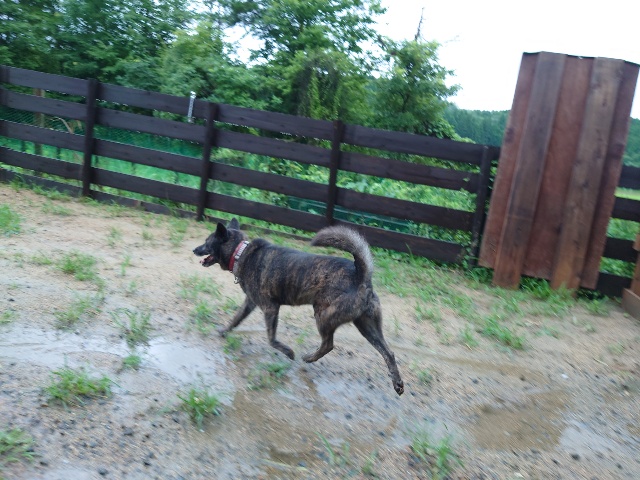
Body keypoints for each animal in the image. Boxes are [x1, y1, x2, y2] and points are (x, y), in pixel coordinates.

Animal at [193, 219, 404, 396]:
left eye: (207, 241)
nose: (195, 250)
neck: (240, 252)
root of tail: (361, 275)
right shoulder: (250, 303)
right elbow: (235, 319)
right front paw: (223, 331)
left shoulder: (270, 308)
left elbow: (271, 339)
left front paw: (288, 352)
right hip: (366, 325)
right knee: (388, 352)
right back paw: (398, 384)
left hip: (323, 316)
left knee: (328, 344)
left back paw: (309, 358)